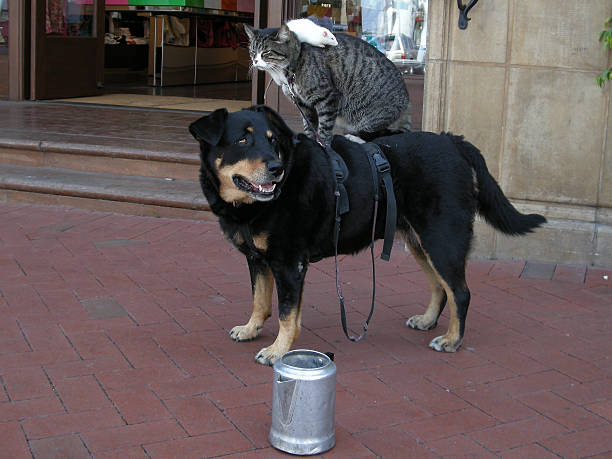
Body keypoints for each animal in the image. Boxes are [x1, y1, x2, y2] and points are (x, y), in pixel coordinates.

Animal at [188, 105, 544, 366]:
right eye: (243, 141)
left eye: (274, 140)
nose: (276, 168)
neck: (251, 207)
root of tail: (453, 140)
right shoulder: (260, 260)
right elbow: (260, 300)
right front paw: (251, 328)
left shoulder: (289, 263)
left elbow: (288, 313)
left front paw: (278, 350)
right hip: (420, 242)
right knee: (439, 288)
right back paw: (428, 320)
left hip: (442, 238)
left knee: (460, 292)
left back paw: (452, 340)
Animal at [244, 23, 412, 146]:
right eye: (252, 52)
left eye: (266, 53)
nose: (255, 61)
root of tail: (406, 103)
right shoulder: (304, 105)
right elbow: (309, 126)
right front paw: (311, 141)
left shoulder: (327, 97)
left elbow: (324, 126)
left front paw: (323, 144)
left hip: (371, 117)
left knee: (379, 135)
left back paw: (355, 138)